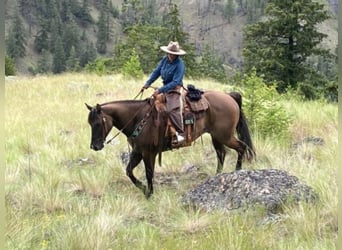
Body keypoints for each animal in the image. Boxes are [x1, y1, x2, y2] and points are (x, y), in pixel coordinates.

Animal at [86, 89, 254, 197]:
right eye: (89, 123)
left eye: (98, 123)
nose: (95, 146)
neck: (138, 118)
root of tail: (229, 96)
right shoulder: (137, 152)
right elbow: (129, 172)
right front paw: (144, 189)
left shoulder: (148, 152)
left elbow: (149, 173)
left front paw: (149, 193)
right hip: (216, 136)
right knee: (222, 153)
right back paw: (217, 176)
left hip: (225, 136)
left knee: (241, 147)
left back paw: (237, 171)